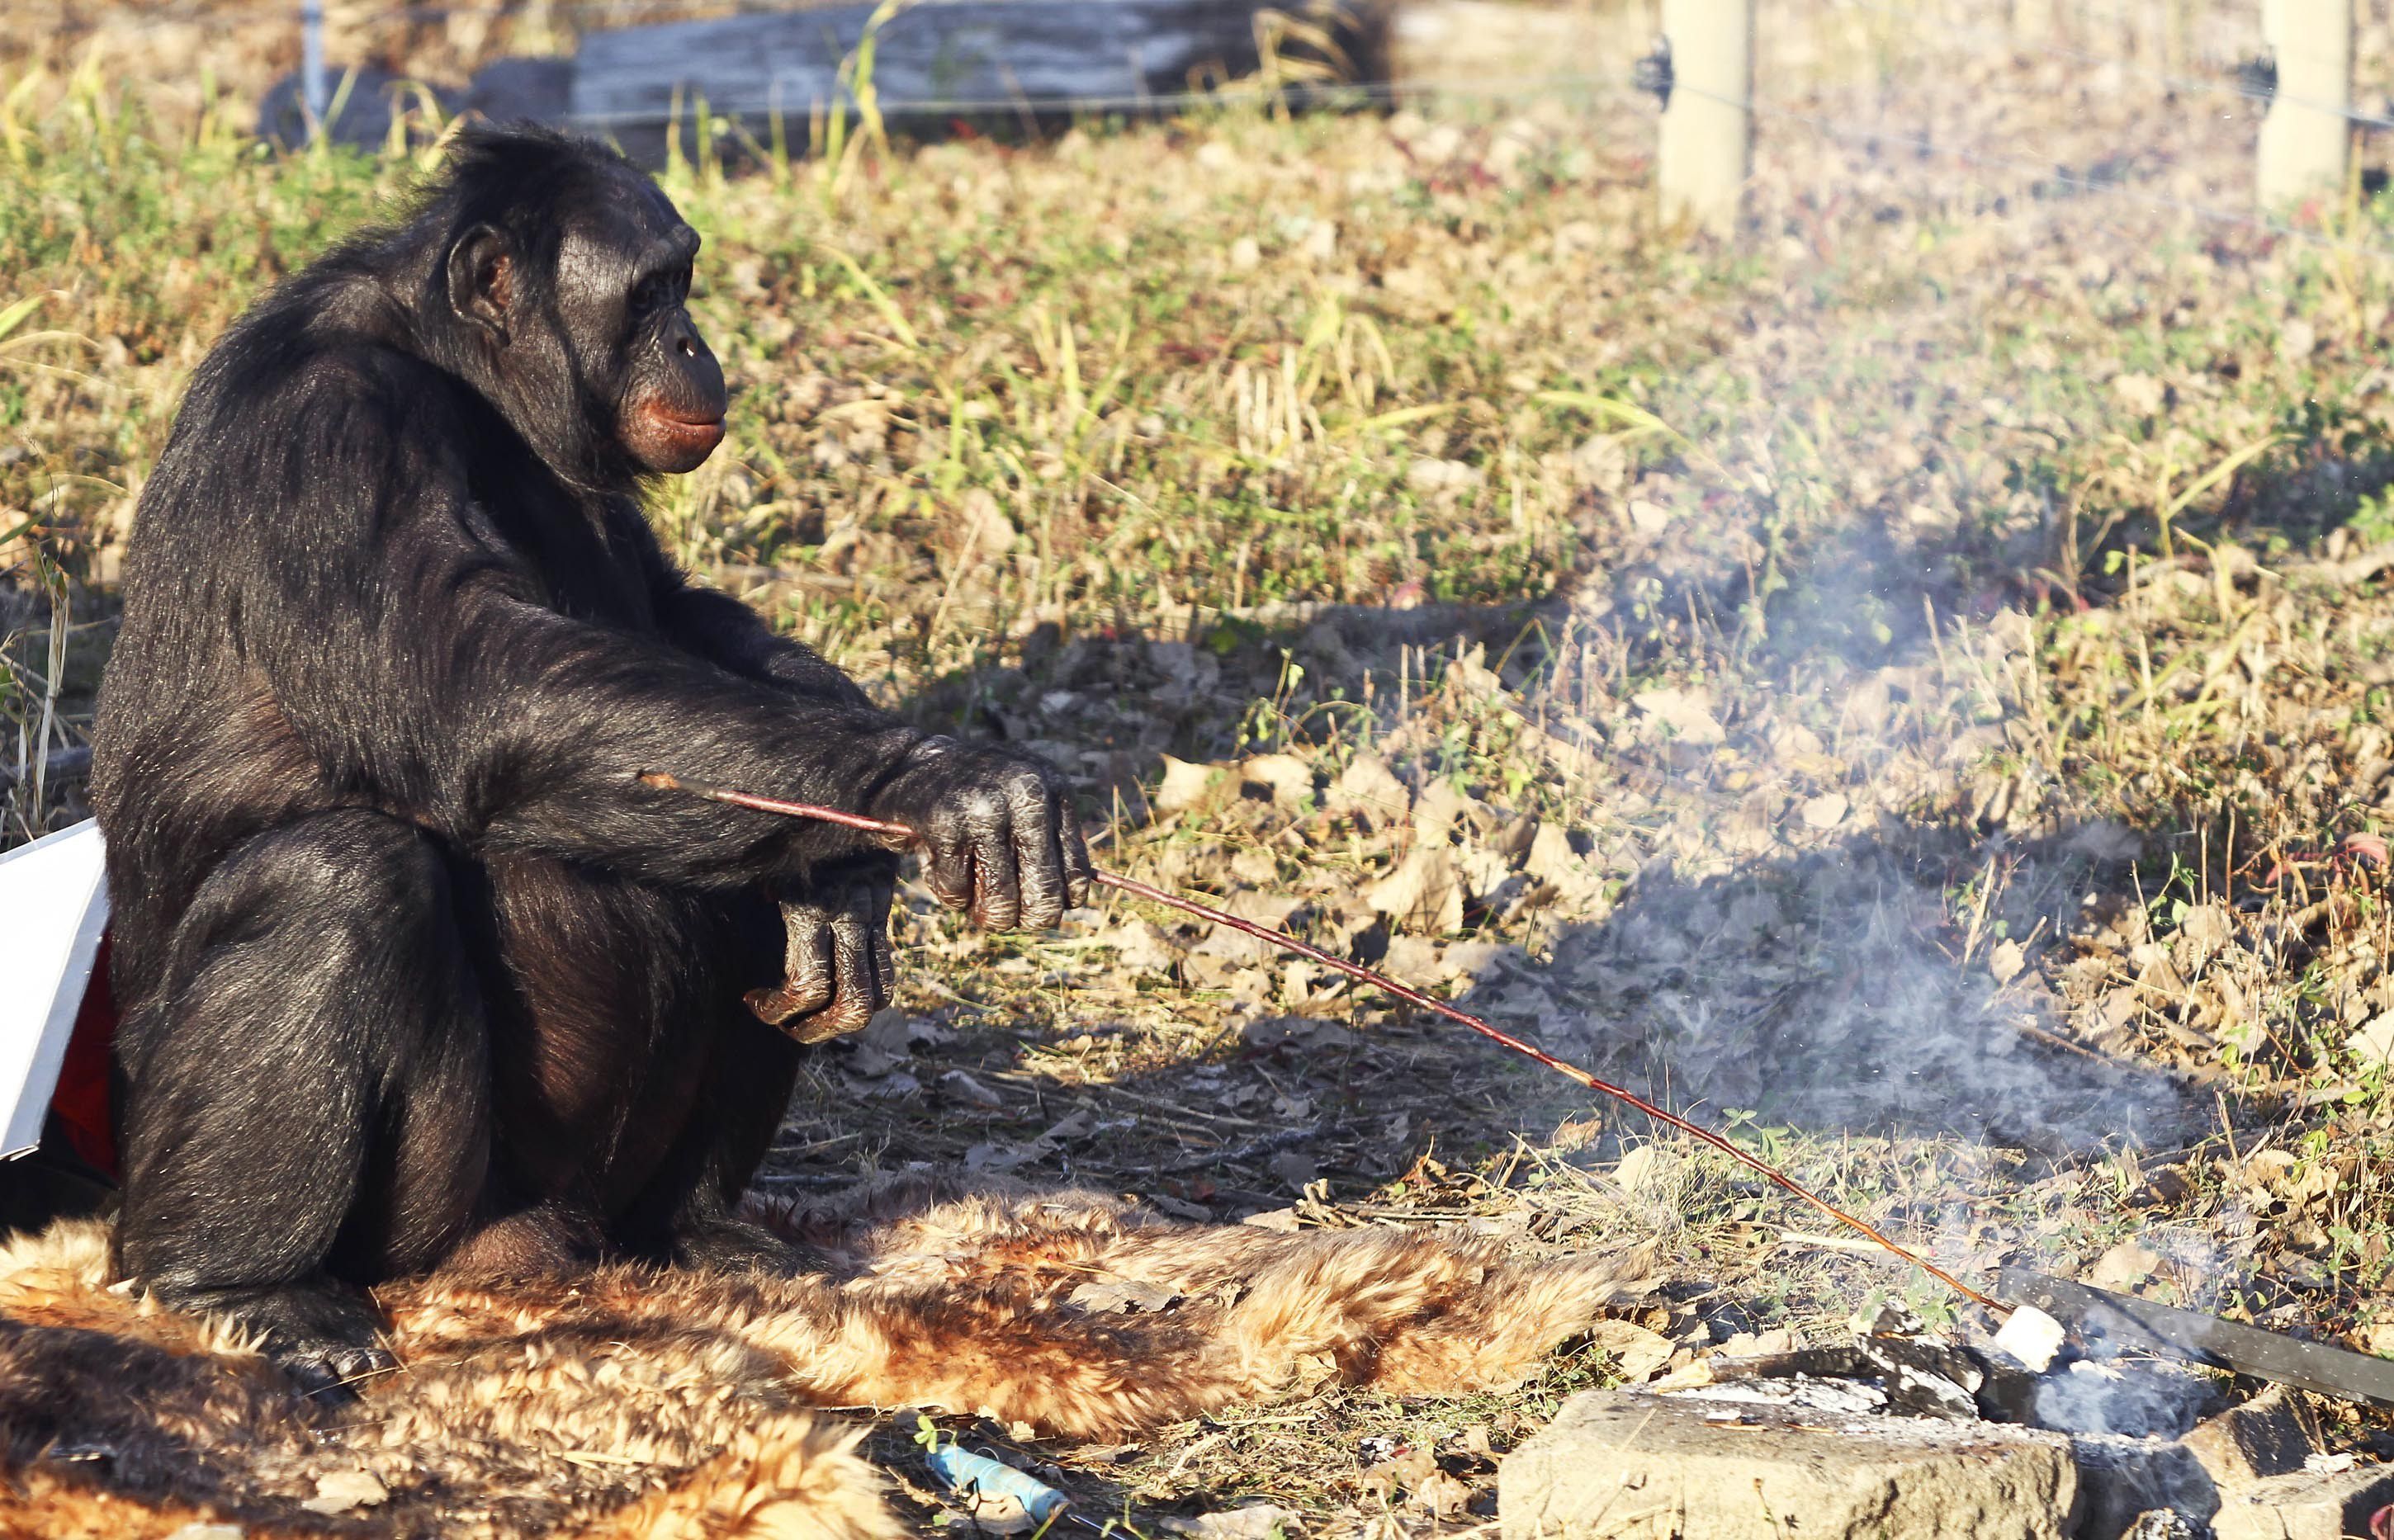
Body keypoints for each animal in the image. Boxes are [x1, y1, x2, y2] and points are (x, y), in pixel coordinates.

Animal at [87, 123, 1096, 1398]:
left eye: (684, 279)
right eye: (651, 290)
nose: (695, 341)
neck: (464, 381)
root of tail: (539, 1247)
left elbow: (670, 615)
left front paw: (854, 853)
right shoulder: (331, 433)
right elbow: (470, 679)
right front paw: (925, 785)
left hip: (595, 1197)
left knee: (729, 861)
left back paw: (705, 1225)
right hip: (418, 1221)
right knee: (337, 880)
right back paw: (237, 1285)